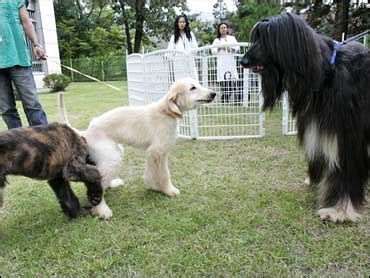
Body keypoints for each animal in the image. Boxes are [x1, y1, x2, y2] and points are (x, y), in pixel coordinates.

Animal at [241, 13, 368, 223]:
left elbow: (346, 167)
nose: (243, 61)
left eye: (267, 39)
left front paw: (338, 209)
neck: (327, 73)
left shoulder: (347, 134)